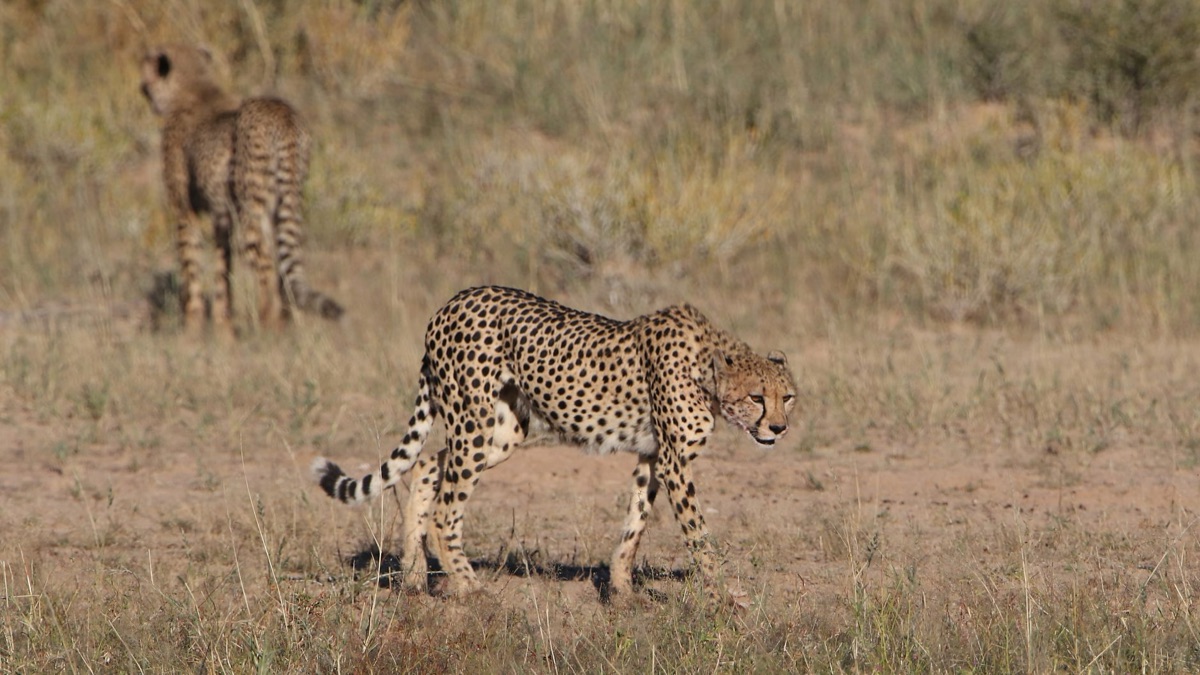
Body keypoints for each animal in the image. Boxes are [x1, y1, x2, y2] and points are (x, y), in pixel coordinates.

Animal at [140, 44, 343, 334]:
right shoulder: (221, 217)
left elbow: (191, 265)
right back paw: (290, 322)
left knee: (266, 264)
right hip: (286, 201)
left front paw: (191, 326)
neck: (194, 87)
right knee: (285, 265)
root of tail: (281, 111)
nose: (143, 88)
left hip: (251, 207)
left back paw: (269, 324)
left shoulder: (184, 211)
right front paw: (223, 324)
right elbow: (222, 268)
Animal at [311, 285, 797, 602]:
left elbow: (635, 522)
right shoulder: (675, 461)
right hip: (474, 422)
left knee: (428, 465)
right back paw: (470, 588)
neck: (707, 371)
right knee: (447, 509)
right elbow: (699, 535)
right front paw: (725, 598)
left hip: (503, 433)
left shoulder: (652, 456)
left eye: (787, 396)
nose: (778, 429)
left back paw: (414, 575)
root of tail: (451, 302)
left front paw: (622, 590)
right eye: (757, 397)